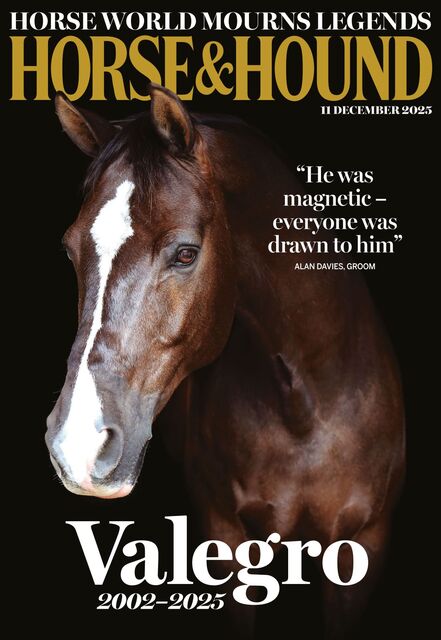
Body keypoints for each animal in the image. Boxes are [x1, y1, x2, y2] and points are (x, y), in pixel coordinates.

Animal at [45, 83, 405, 638]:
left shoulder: (363, 546)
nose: (77, 444)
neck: (305, 408)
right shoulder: (227, 539)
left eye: (186, 253)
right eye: (69, 251)